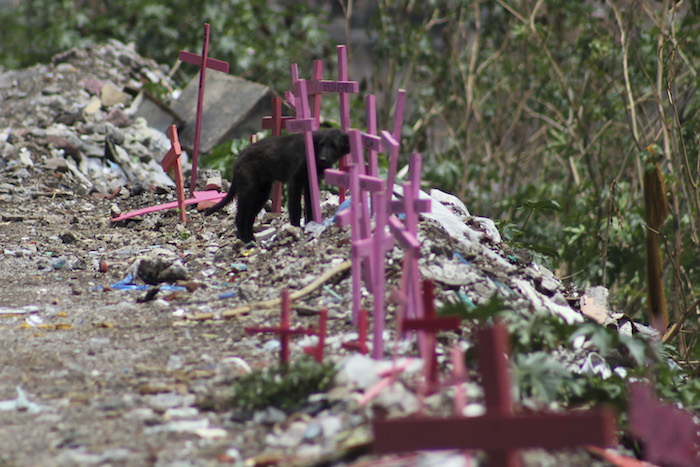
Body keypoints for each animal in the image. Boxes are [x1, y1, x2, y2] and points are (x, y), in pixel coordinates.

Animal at [206, 129, 350, 243]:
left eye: (334, 146)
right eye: (322, 145)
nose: (323, 159)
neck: (312, 152)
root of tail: (238, 157)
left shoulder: (311, 184)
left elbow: (310, 207)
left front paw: (311, 224)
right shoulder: (295, 182)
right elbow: (296, 208)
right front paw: (296, 228)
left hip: (262, 193)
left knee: (249, 218)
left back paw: (252, 240)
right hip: (249, 190)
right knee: (240, 218)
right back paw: (247, 241)